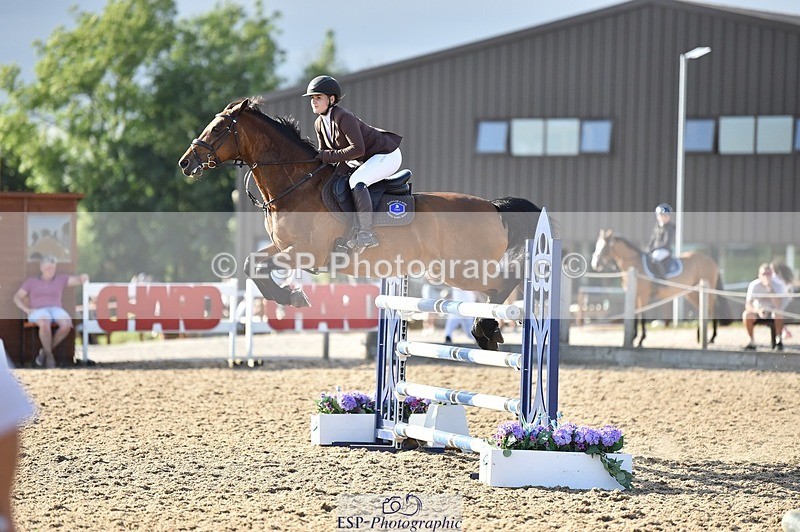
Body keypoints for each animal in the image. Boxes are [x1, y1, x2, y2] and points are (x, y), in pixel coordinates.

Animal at [177, 97, 542, 350]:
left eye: (219, 129)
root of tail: (492, 207)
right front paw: (292, 297)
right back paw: (488, 331)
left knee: (504, 283)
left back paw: (485, 331)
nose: (185, 163)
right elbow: (251, 264)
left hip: (462, 268)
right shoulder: (283, 247)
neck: (296, 183)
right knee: (498, 287)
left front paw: (292, 297)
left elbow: (255, 266)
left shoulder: (306, 252)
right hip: (451, 270)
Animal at [590, 229, 730, 347]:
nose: (595, 264)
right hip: (692, 293)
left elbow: (642, 315)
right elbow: (634, 314)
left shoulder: (643, 295)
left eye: (606, 246)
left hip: (705, 291)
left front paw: (641, 339)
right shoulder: (634, 295)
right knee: (705, 309)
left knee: (712, 308)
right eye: (597, 245)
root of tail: (711, 261)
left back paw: (710, 338)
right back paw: (702, 337)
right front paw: (633, 338)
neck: (635, 265)